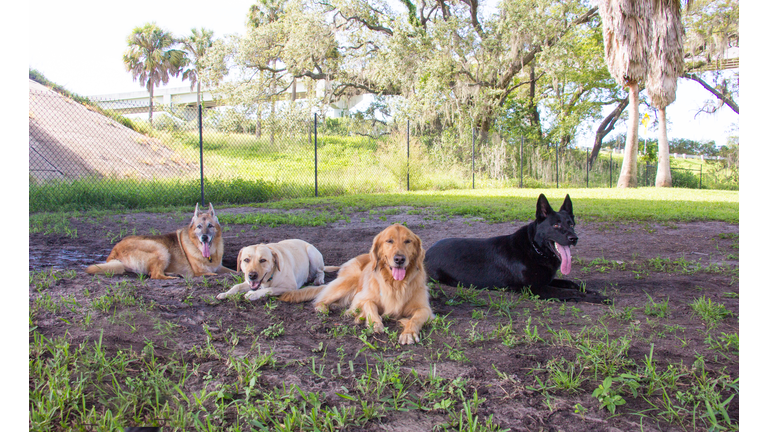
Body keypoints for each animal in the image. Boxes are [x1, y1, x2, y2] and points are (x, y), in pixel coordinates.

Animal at [85, 203, 234, 278]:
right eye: (199, 226)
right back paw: (175, 276)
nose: (204, 237)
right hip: (160, 249)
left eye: (210, 226)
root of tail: (114, 252)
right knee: (155, 275)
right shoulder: (200, 271)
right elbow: (215, 274)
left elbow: (233, 271)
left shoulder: (219, 267)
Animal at [280, 224, 436, 346]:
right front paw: (374, 323)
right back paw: (324, 308)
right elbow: (370, 305)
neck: (395, 284)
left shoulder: (425, 309)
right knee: (321, 299)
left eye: (408, 241)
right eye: (389, 241)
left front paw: (408, 333)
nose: (399, 259)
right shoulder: (361, 298)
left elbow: (415, 319)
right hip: (349, 282)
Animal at [424, 196, 608, 304]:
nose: (574, 238)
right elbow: (570, 292)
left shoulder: (547, 281)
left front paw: (592, 291)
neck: (535, 249)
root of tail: (427, 251)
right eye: (556, 225)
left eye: (571, 224)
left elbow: (572, 284)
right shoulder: (536, 288)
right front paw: (599, 297)